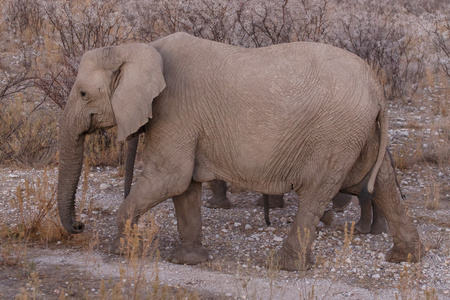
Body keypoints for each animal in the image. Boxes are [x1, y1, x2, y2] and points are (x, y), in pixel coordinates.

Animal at [57, 31, 426, 270]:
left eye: (83, 94)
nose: (80, 226)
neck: (141, 49)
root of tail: (377, 88)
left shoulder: (175, 112)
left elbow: (170, 178)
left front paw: (118, 251)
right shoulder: (186, 121)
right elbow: (184, 187)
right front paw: (188, 261)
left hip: (335, 133)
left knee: (317, 191)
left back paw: (286, 265)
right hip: (358, 132)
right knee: (379, 184)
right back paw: (406, 257)